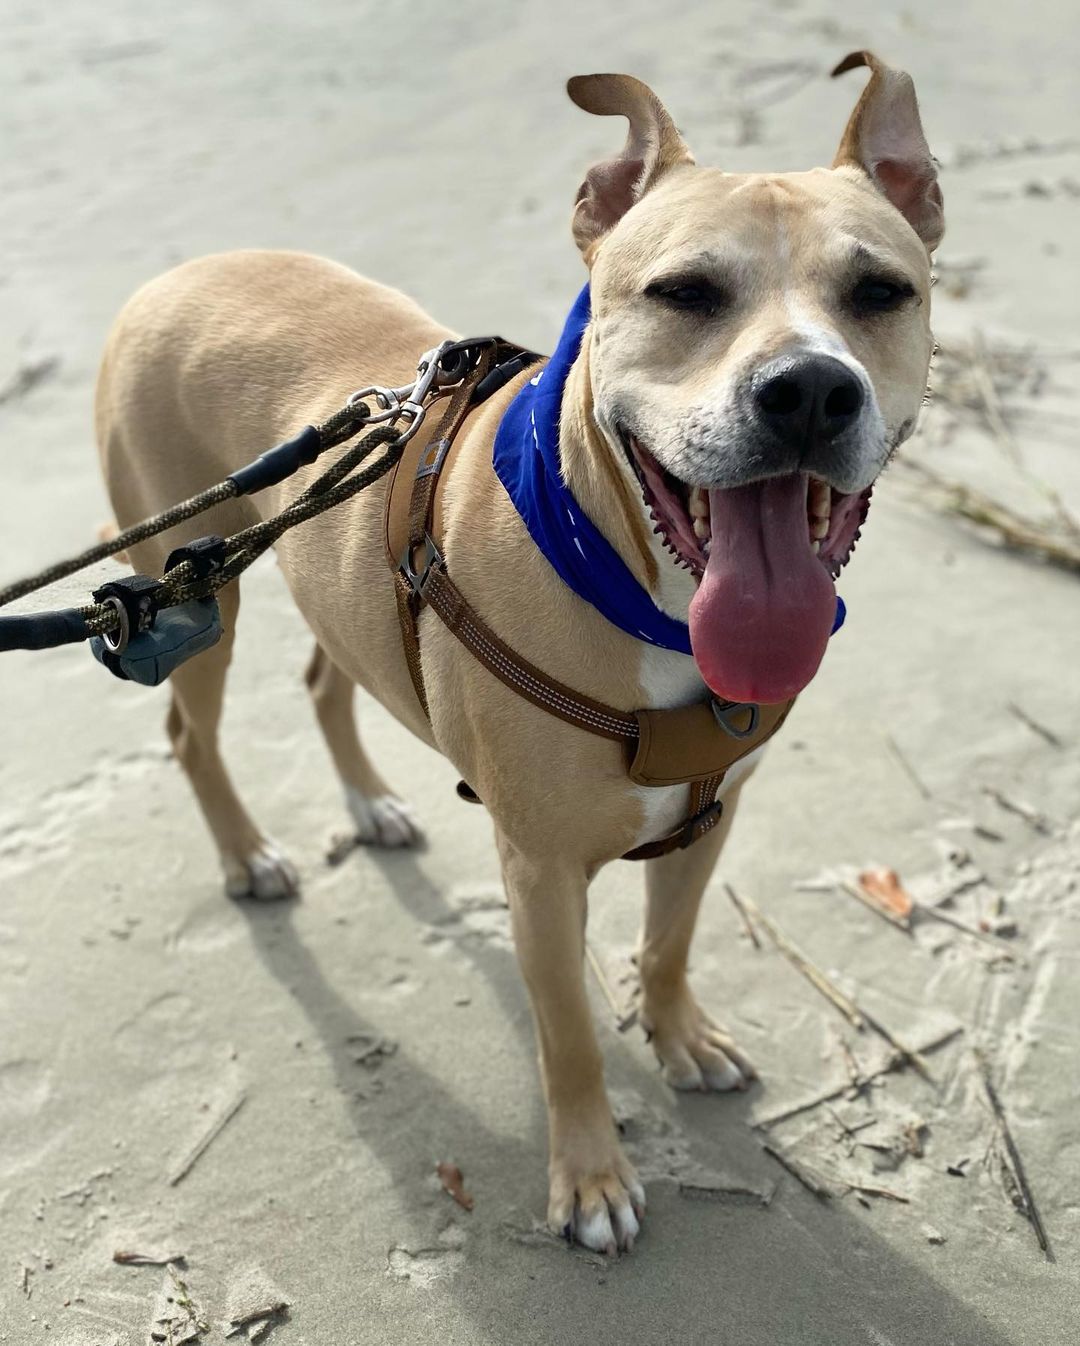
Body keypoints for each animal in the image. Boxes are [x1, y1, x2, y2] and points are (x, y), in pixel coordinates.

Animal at [98, 52, 942, 1249]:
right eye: (685, 293)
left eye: (880, 293)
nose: (812, 390)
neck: (639, 585)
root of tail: (176, 273)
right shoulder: (540, 874)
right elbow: (570, 1035)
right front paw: (589, 1179)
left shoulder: (708, 820)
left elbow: (669, 944)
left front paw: (680, 1037)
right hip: (191, 588)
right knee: (188, 727)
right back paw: (249, 854)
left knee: (327, 676)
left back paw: (369, 803)